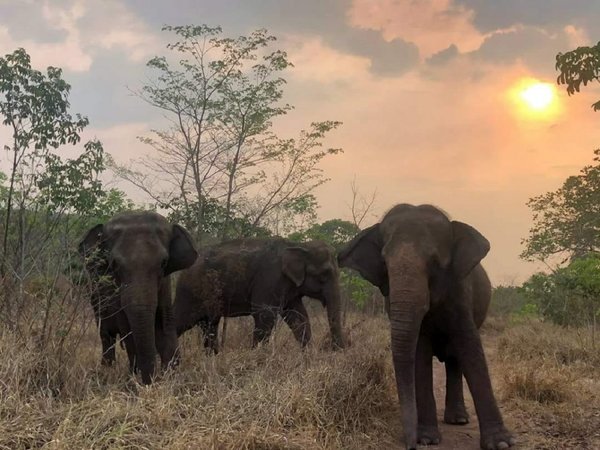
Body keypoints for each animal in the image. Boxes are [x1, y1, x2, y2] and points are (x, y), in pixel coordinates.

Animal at [77, 211, 197, 384]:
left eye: (164, 263)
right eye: (114, 264)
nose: (152, 380)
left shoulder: (165, 285)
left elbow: (165, 322)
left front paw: (171, 373)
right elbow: (128, 329)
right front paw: (135, 379)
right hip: (94, 297)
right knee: (106, 335)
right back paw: (107, 369)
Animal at [173, 237, 344, 354]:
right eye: (324, 274)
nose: (335, 349)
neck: (299, 245)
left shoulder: (289, 290)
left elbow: (298, 317)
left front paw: (307, 355)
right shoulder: (269, 279)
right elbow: (264, 315)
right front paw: (256, 356)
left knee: (209, 325)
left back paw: (212, 358)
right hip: (191, 292)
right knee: (181, 320)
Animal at [338, 205, 516, 450]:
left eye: (434, 262)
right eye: (384, 263)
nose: (409, 444)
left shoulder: (460, 289)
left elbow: (470, 346)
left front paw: (501, 444)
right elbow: (420, 352)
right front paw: (427, 439)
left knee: (455, 359)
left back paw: (459, 420)